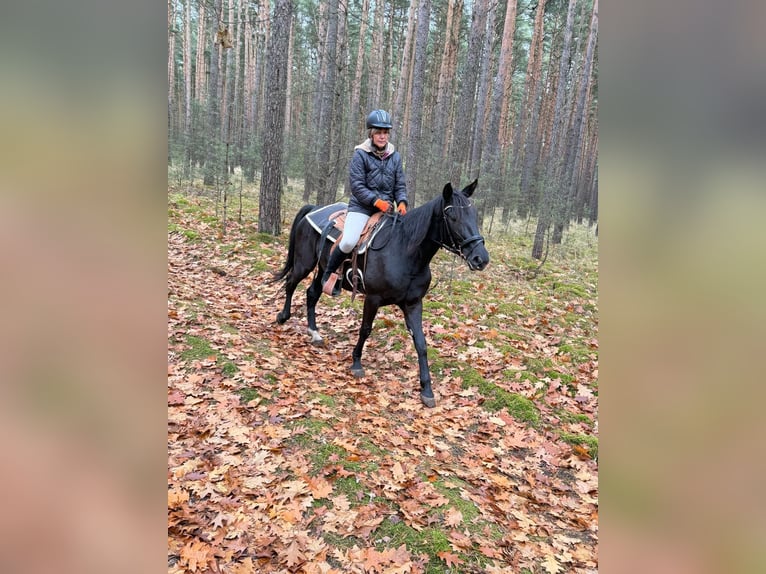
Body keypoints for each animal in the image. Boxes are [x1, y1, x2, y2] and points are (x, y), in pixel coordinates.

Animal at [272, 179, 490, 407]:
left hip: (322, 270)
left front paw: (427, 390)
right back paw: (283, 316)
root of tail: (313, 208)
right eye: (452, 216)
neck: (405, 252)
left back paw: (314, 332)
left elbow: (421, 344)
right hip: (304, 263)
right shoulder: (373, 299)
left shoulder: (413, 304)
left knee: (312, 293)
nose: (481, 258)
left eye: (474, 214)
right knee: (290, 284)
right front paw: (356, 363)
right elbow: (365, 329)